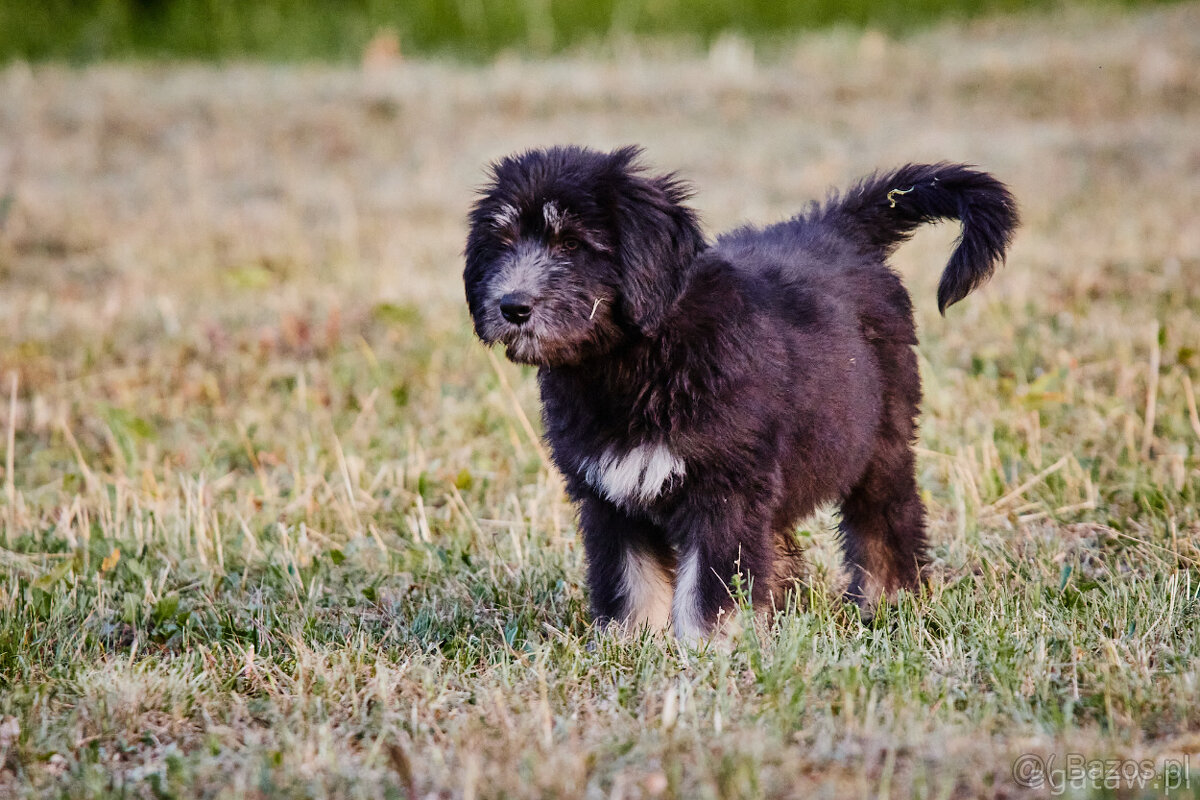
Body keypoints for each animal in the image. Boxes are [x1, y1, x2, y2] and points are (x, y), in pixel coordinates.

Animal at [463, 146, 1017, 642]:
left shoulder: (724, 489)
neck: (640, 357)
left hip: (879, 437)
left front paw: (709, 652)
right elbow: (630, 582)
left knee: (886, 520)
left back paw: (889, 601)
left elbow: (709, 590)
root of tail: (836, 229)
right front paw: (630, 646)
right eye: (503, 242)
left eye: (572, 244)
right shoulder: (609, 495)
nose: (512, 306)